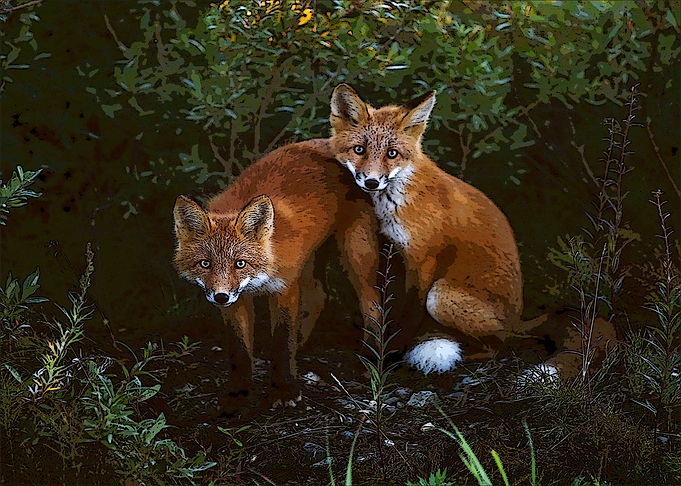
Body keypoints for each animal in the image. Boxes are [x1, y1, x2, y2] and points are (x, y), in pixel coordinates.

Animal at [173, 139, 380, 412]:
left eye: (240, 263)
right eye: (205, 264)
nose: (220, 297)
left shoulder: (284, 286)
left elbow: (281, 340)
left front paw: (283, 388)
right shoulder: (237, 301)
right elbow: (239, 350)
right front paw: (238, 393)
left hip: (356, 253)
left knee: (372, 303)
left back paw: (371, 360)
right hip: (310, 259)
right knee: (320, 295)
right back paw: (301, 343)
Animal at [329, 84, 524, 375]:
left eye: (392, 153)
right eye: (359, 149)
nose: (372, 182)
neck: (394, 202)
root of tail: (520, 320)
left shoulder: (424, 259)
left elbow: (410, 313)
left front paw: (394, 355)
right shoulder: (393, 249)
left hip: (440, 297)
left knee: (500, 345)